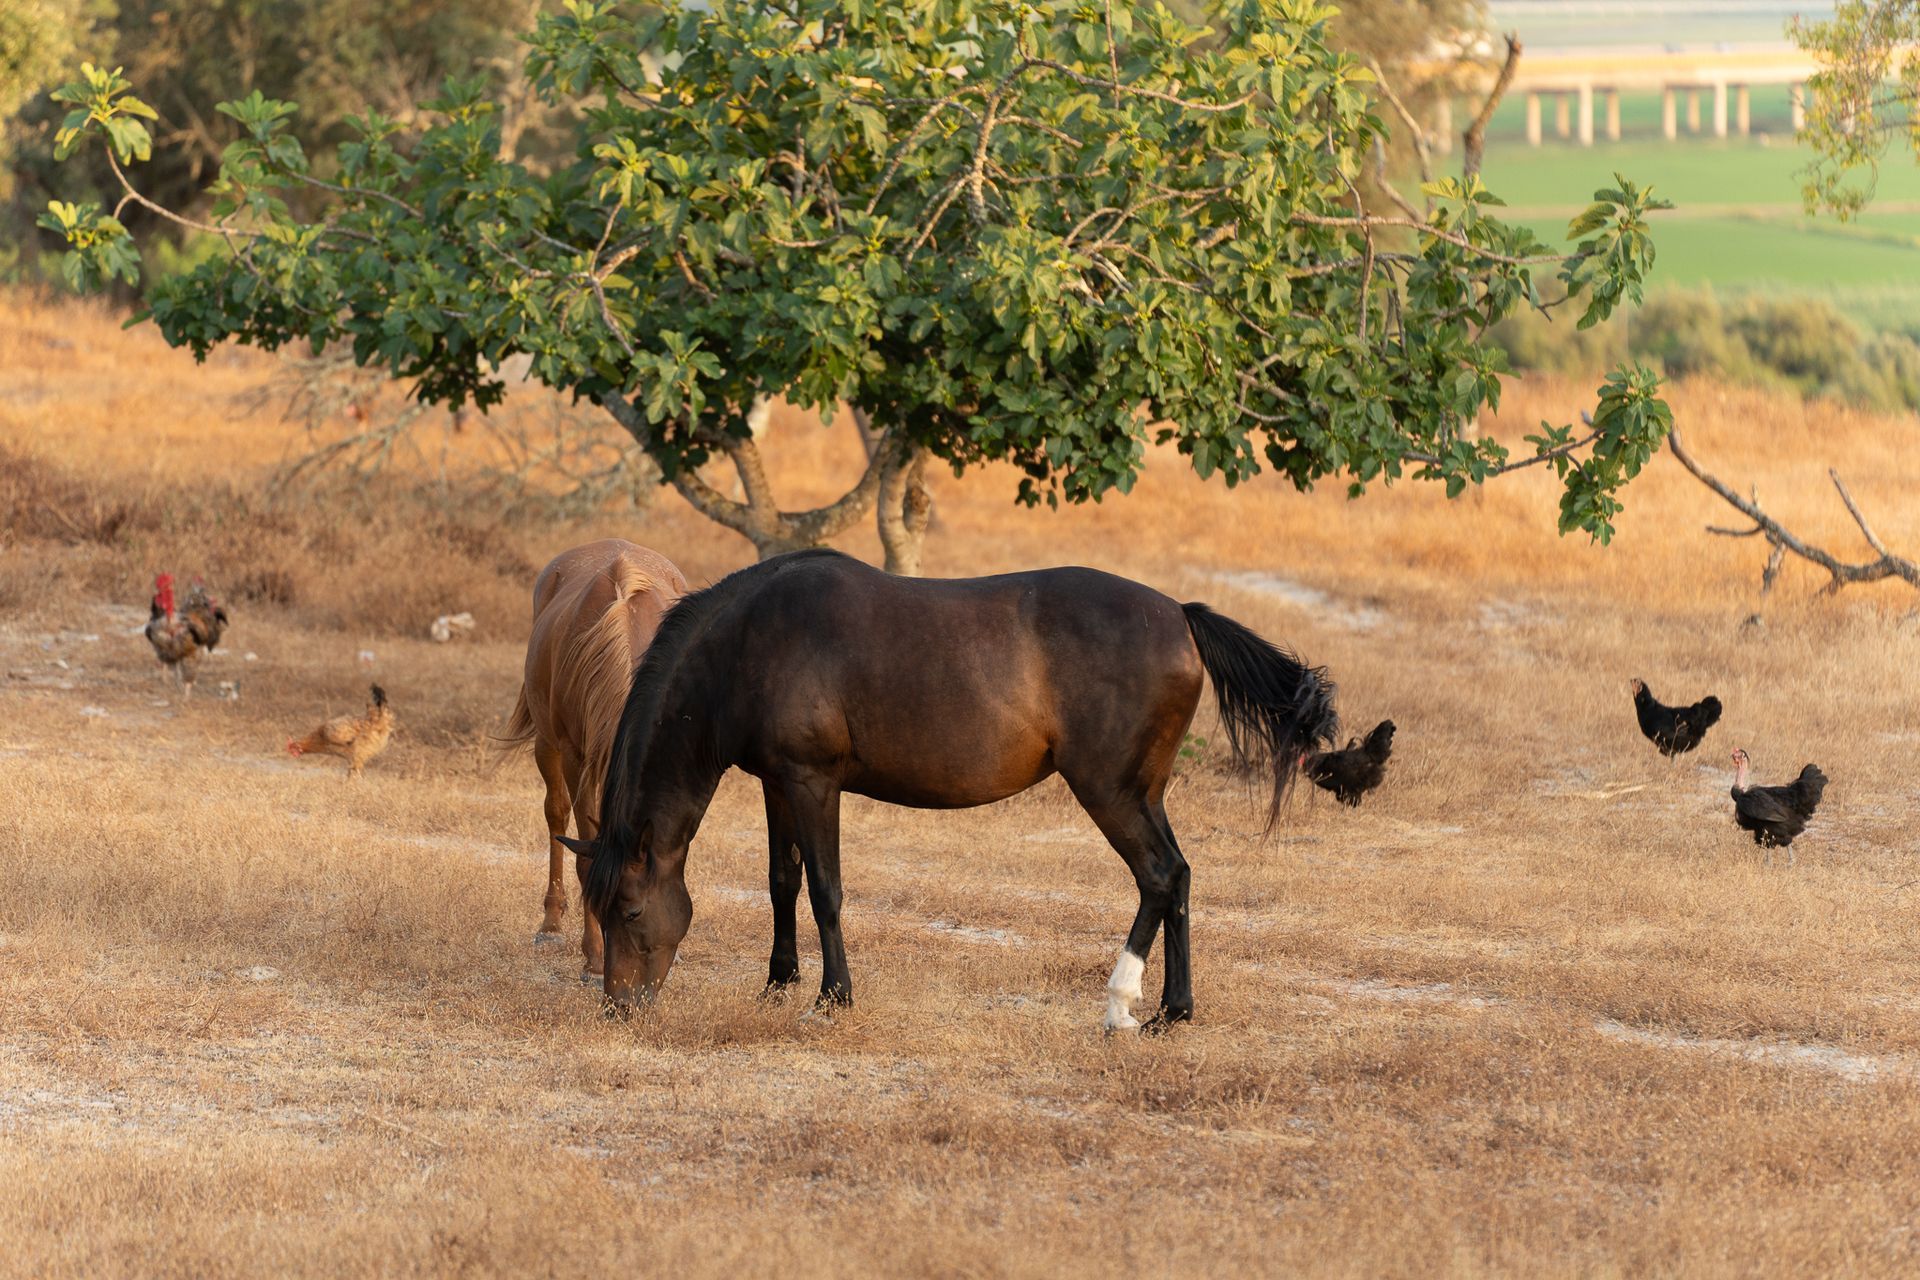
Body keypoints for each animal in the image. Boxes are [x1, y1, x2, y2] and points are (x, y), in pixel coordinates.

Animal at [501, 540, 688, 980]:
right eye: (619, 909)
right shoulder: (577, 758)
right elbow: (584, 857)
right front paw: (592, 957)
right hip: (548, 745)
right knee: (555, 815)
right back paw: (551, 925)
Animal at [562, 548, 1338, 1031]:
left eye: (630, 912)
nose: (617, 1009)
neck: (751, 642)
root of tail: (1179, 614)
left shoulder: (814, 784)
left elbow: (825, 890)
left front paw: (832, 997)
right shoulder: (778, 784)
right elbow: (783, 882)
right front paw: (778, 984)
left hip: (1112, 792)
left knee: (1160, 876)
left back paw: (1128, 1004)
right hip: (1142, 795)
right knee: (1175, 879)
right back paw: (1170, 1009)